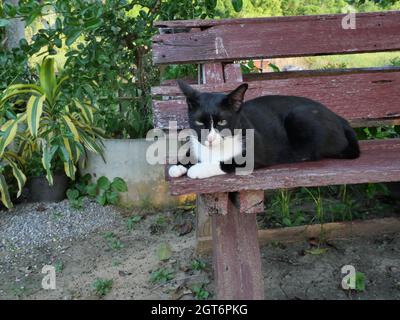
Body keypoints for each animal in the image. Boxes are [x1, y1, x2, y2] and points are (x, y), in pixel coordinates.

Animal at [168, 80, 360, 180]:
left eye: (222, 122)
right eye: (199, 123)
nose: (210, 139)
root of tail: (339, 117)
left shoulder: (256, 152)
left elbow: (227, 162)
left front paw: (197, 169)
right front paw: (178, 166)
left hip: (300, 116)